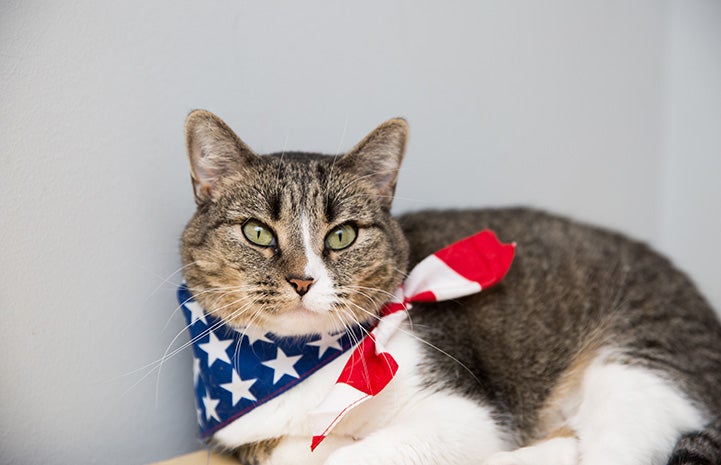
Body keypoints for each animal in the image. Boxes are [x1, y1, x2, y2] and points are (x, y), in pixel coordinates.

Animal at [179, 109, 720, 464]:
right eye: (257, 232)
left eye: (341, 235)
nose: (302, 279)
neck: (300, 365)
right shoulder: (255, 439)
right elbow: (300, 453)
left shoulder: (467, 413)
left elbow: (360, 456)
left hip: (643, 363)